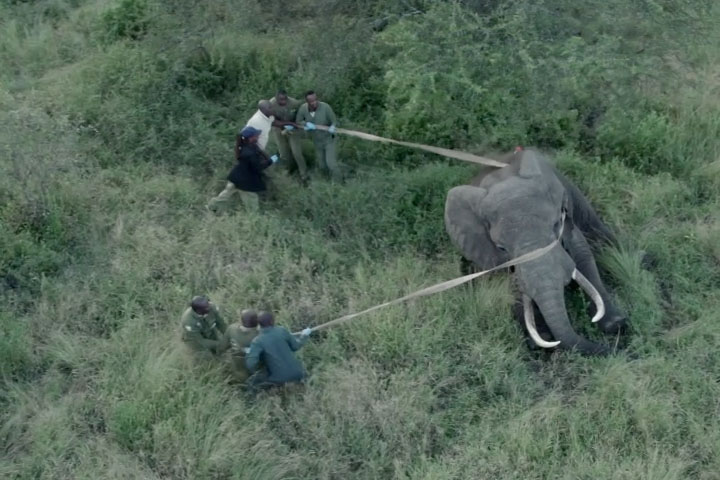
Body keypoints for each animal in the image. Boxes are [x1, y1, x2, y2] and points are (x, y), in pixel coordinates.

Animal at [444, 148, 627, 355]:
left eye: (556, 225)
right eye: (501, 248)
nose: (612, 350)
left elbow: (583, 254)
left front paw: (615, 324)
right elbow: (511, 283)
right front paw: (542, 340)